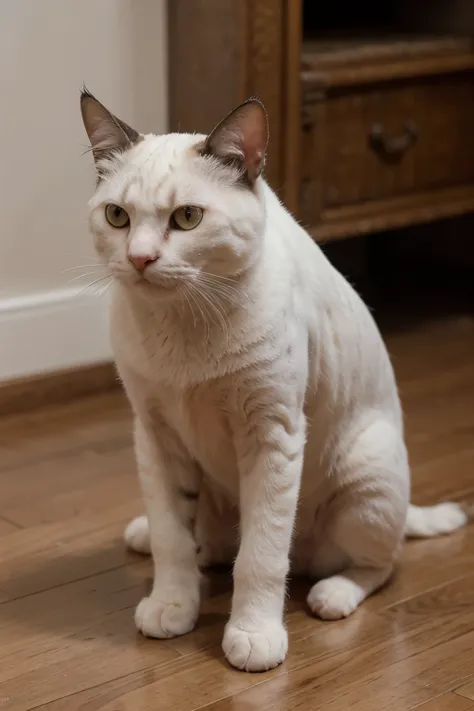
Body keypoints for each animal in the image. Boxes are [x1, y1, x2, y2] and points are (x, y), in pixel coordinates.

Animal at [80, 92, 470, 676]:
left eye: (187, 218)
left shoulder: (272, 435)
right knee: (205, 542)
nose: (140, 259)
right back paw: (156, 538)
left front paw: (253, 633)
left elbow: (261, 556)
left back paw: (333, 594)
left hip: (367, 480)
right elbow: (173, 537)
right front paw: (172, 604)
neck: (182, 324)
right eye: (117, 216)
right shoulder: (154, 437)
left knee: (375, 564)